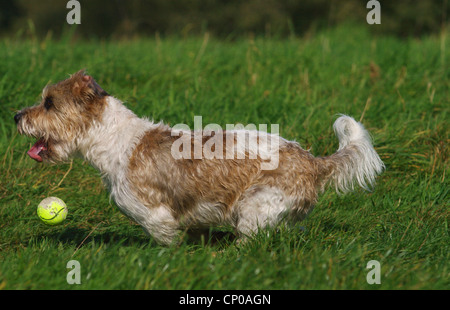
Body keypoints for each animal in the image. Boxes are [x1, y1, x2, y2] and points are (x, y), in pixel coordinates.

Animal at [14, 70, 384, 245]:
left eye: (49, 103)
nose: (17, 115)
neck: (115, 140)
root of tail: (314, 161)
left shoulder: (154, 215)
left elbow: (165, 238)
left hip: (255, 207)